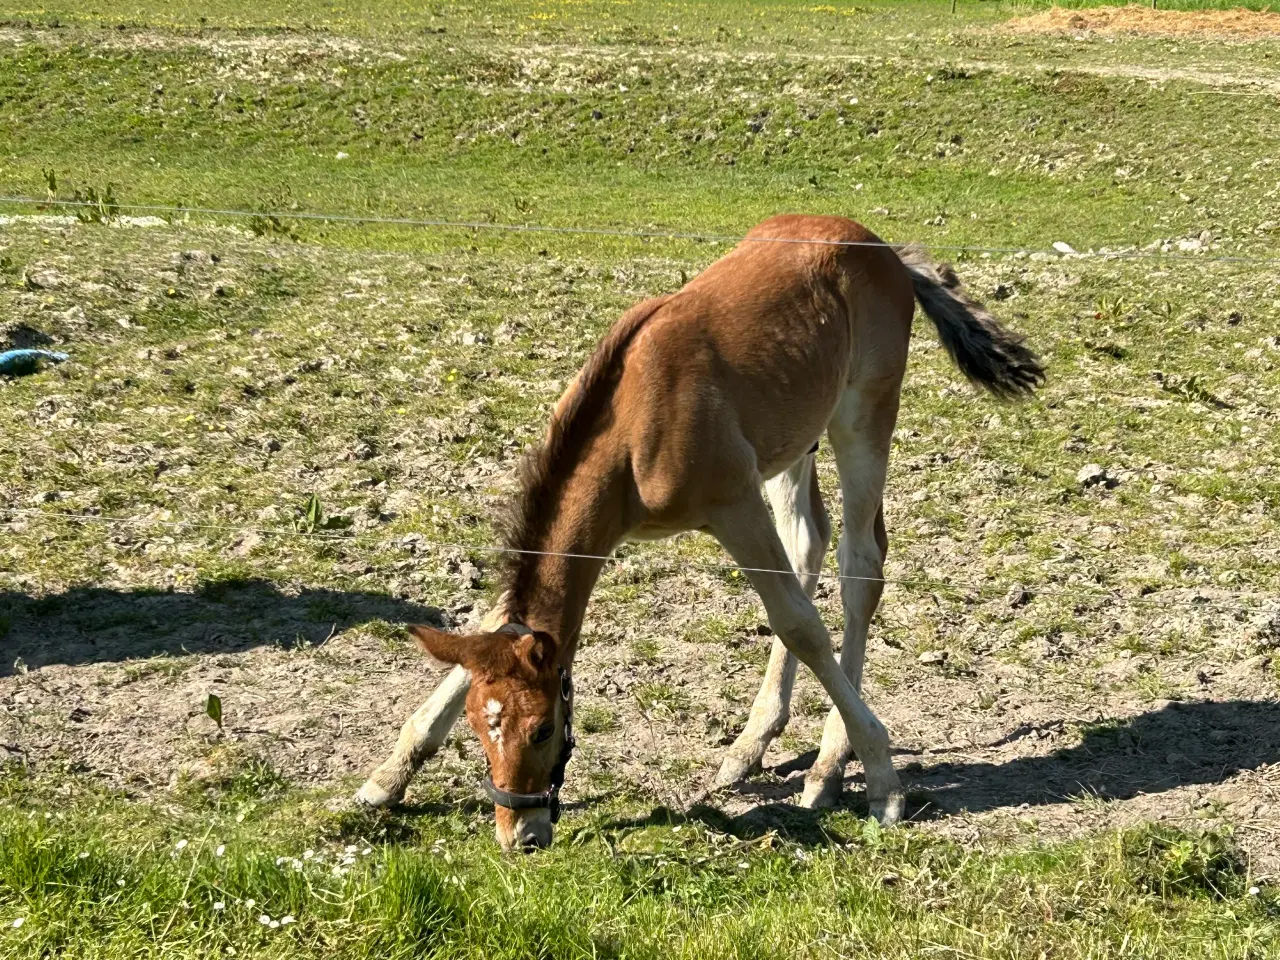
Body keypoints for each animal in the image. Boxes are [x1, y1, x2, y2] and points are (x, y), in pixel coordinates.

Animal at [358, 216, 1039, 849]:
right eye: (480, 727)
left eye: (544, 728)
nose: (519, 834)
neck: (631, 425)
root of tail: (884, 249)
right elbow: (491, 620)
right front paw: (387, 779)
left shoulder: (732, 503)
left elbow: (799, 625)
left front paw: (883, 781)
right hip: (793, 440)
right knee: (808, 541)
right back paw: (751, 744)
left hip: (864, 416)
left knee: (859, 567)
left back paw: (828, 766)